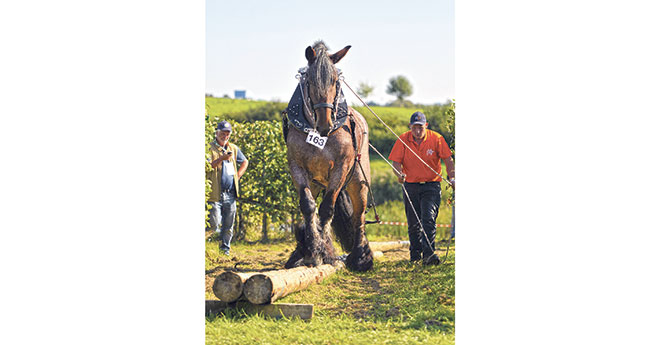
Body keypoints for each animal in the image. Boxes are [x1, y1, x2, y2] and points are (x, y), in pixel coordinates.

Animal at [282, 41, 374, 272]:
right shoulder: (297, 167)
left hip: (358, 182)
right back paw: (300, 252)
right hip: (315, 183)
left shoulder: (341, 168)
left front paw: (323, 253)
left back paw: (360, 257)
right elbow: (308, 207)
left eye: (334, 80)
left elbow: (326, 209)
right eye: (310, 80)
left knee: (359, 215)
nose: (325, 124)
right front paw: (312, 250)